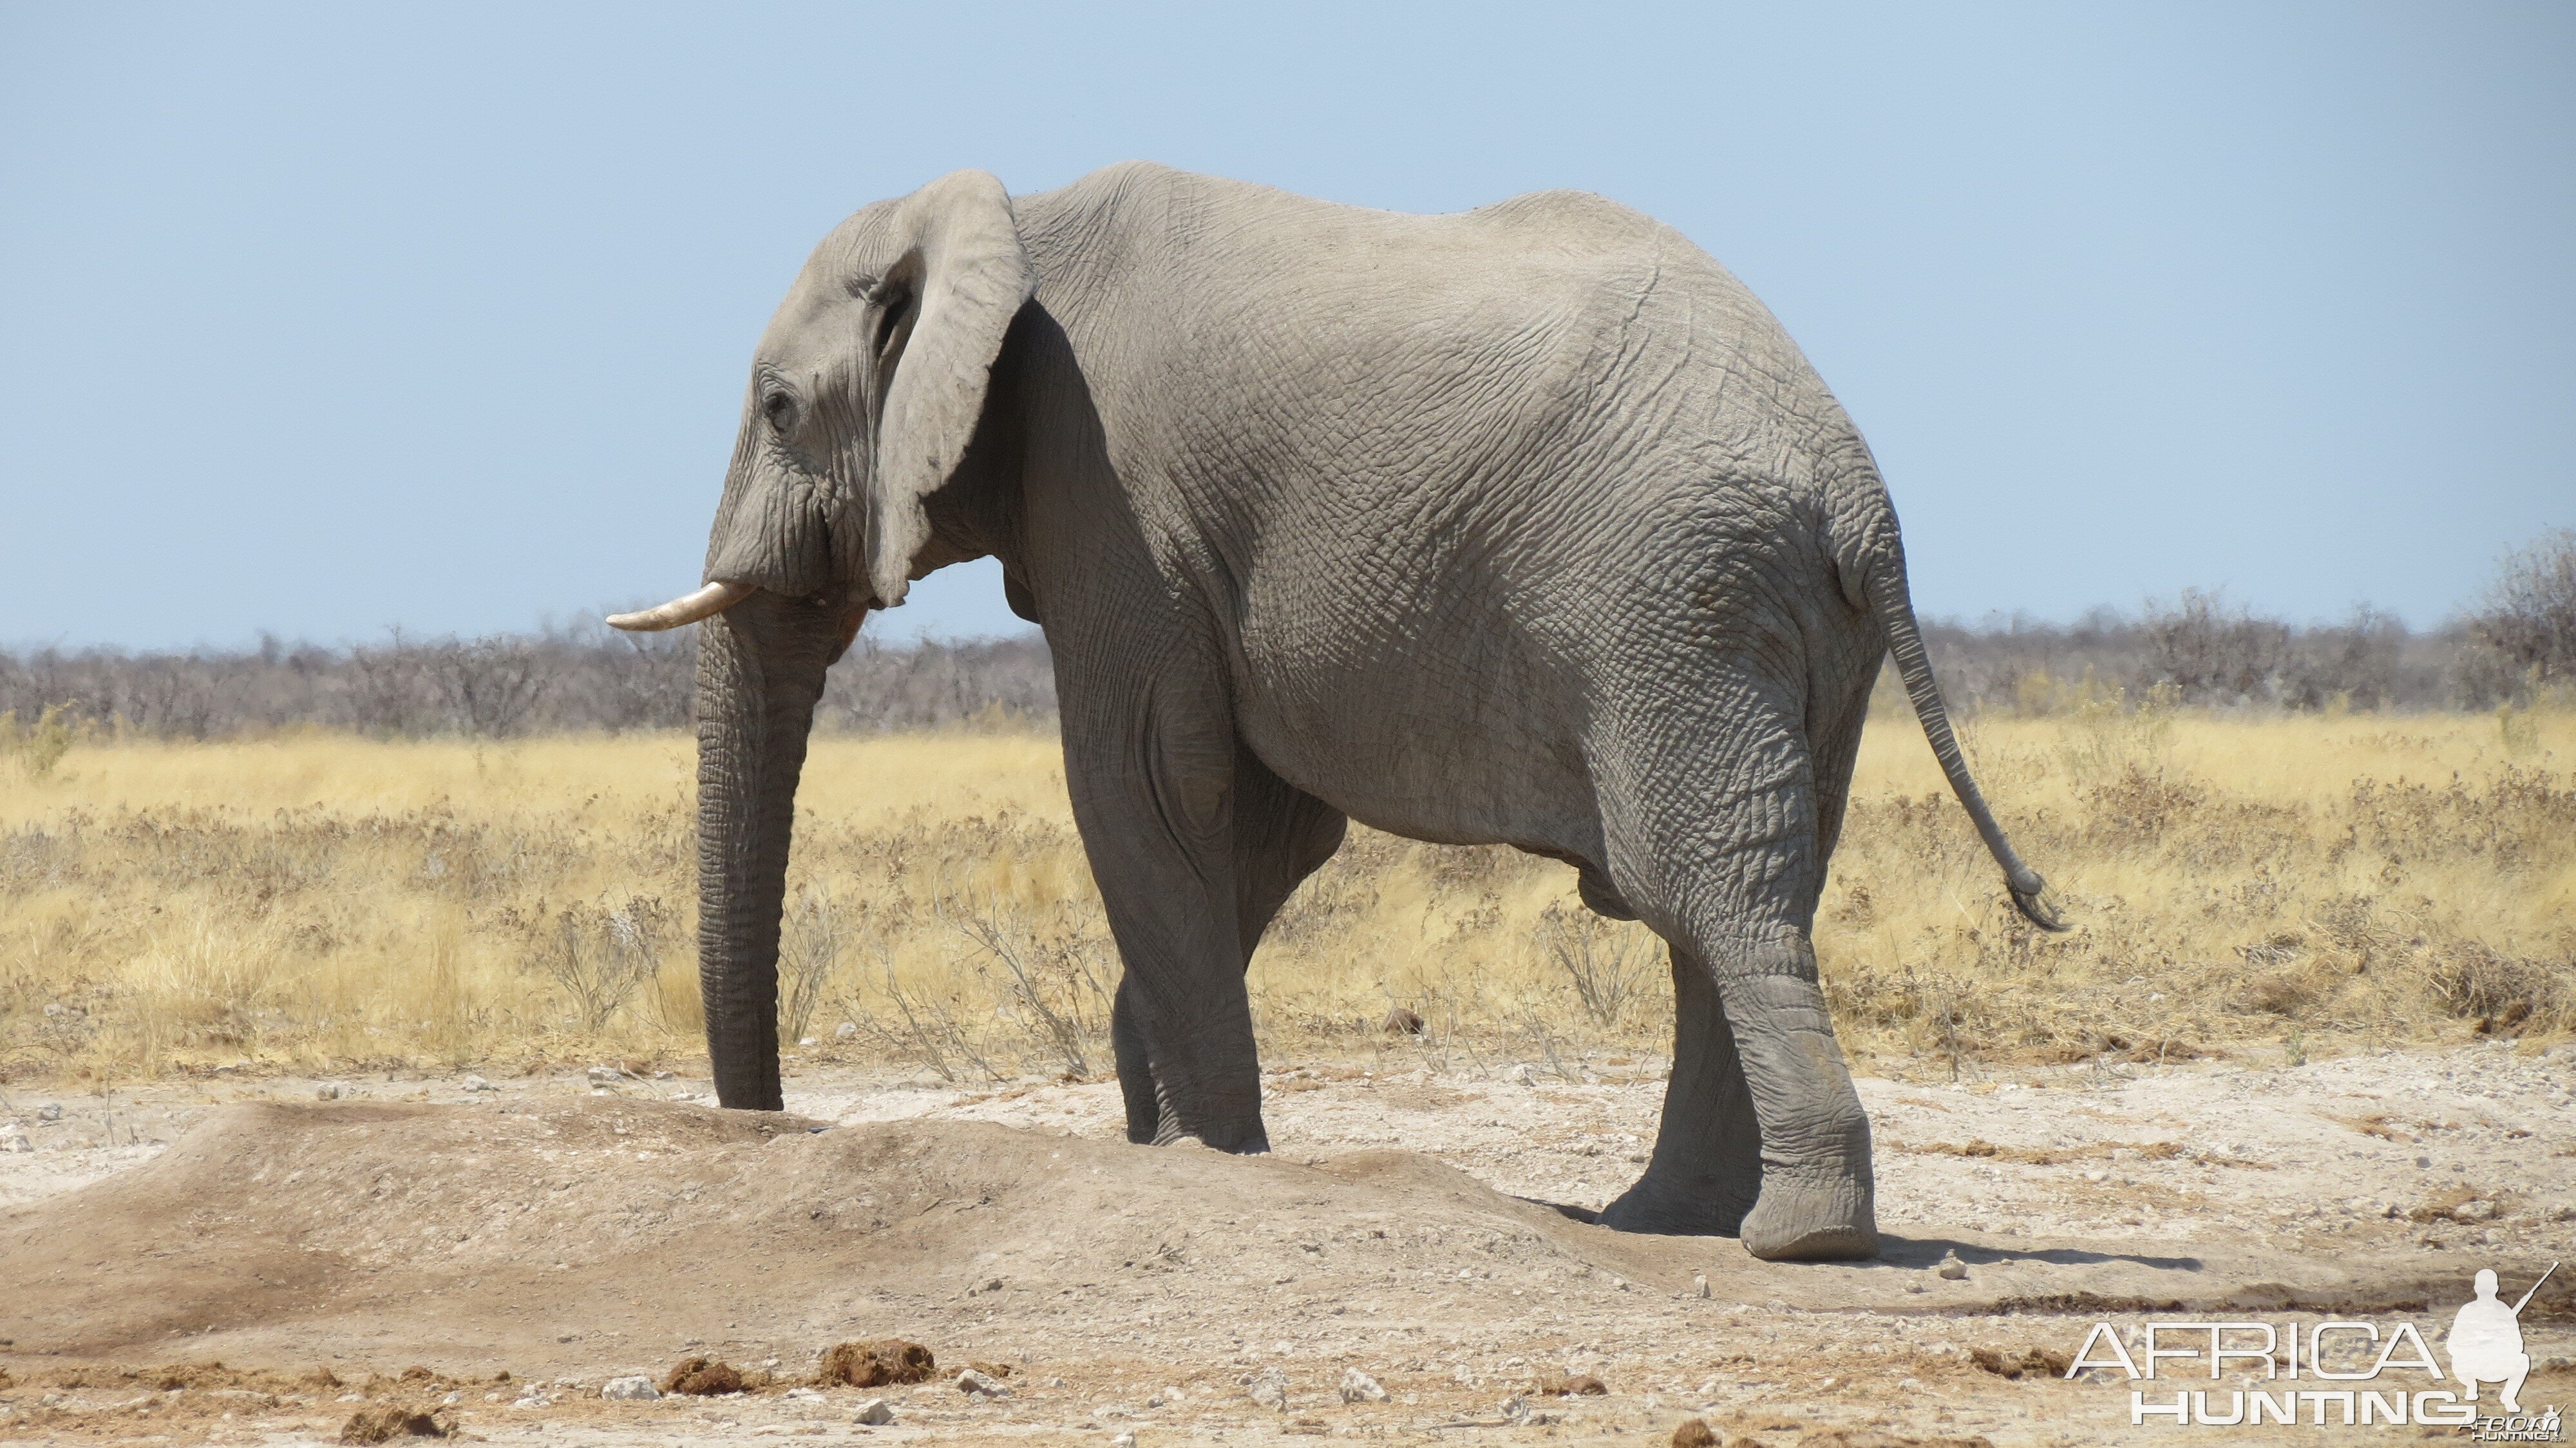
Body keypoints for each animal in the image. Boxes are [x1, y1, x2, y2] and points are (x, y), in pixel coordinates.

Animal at [613, 164, 2061, 1257]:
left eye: (779, 407)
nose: (767, 1124)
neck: (1015, 216)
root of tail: (1857, 491)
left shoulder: (1110, 493)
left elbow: (1141, 785)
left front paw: (1207, 1149)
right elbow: (1261, 826)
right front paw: (1160, 1117)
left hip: (1671, 604)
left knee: (1708, 891)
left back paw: (1792, 1236)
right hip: (1787, 630)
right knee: (1749, 889)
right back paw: (1663, 1221)